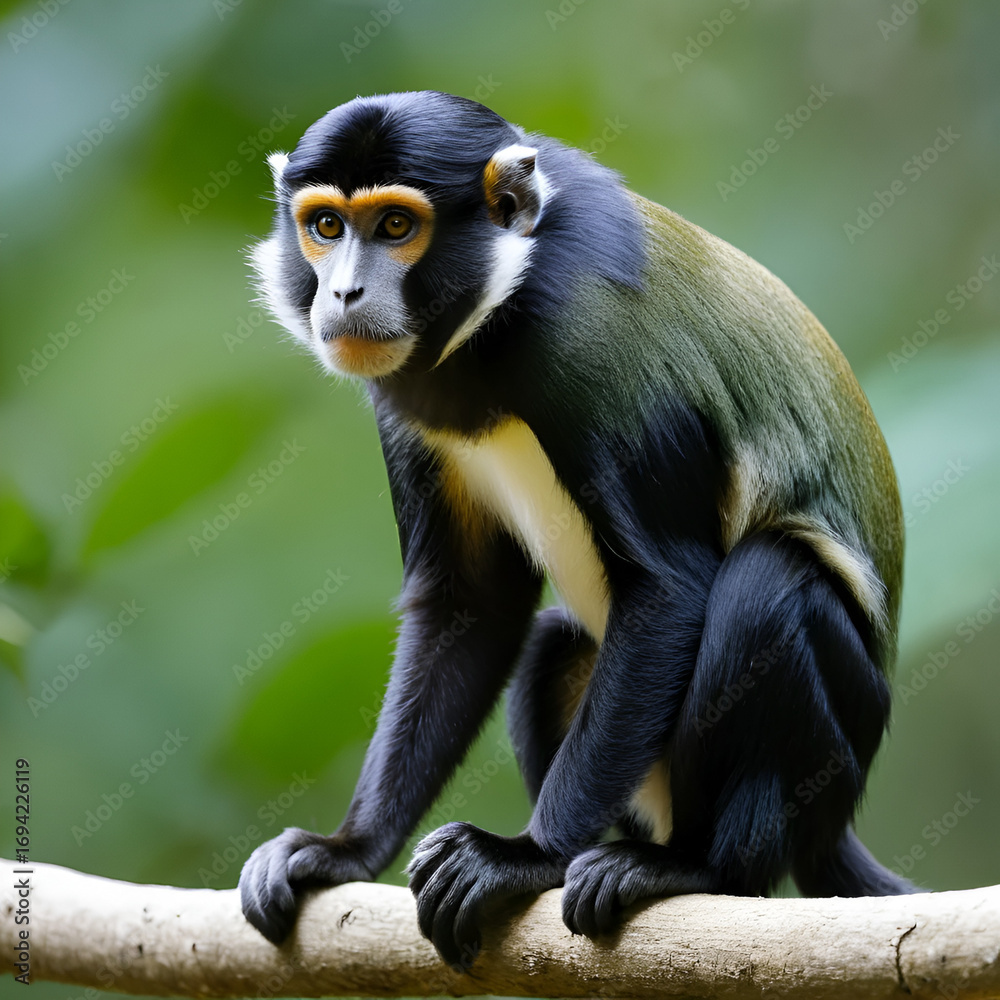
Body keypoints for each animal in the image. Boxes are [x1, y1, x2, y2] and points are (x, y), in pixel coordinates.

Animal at [238, 90, 919, 969]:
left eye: (394, 226)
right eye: (325, 226)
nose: (345, 294)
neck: (496, 310)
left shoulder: (585, 336)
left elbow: (668, 587)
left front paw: (520, 858)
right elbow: (472, 604)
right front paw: (346, 850)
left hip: (833, 748)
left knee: (770, 582)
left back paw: (696, 869)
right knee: (552, 645)